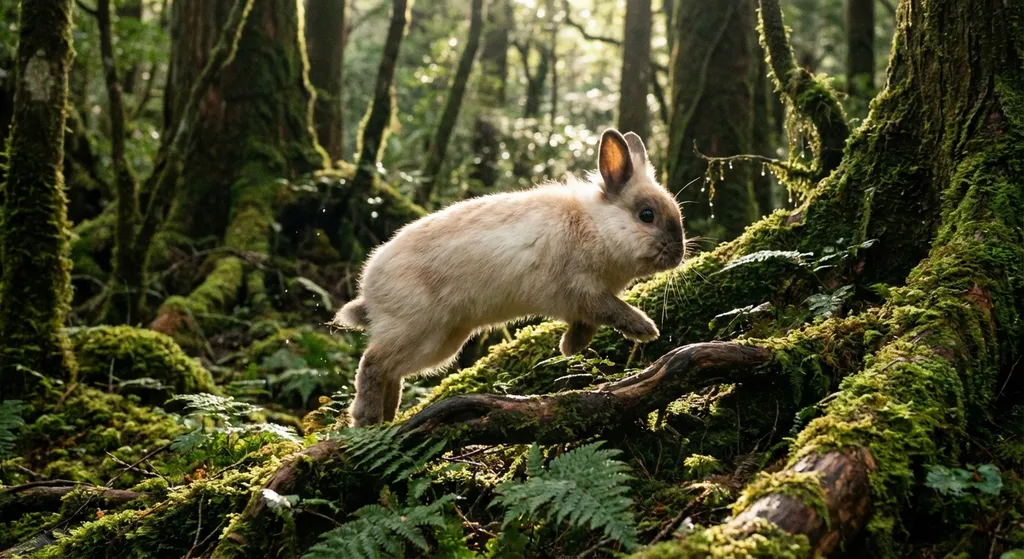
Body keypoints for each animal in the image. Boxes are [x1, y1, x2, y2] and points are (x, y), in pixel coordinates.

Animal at [332, 129, 685, 426]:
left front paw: (568, 348)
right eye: (647, 215)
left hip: (442, 342)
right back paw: (366, 419)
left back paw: (387, 418)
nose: (679, 253)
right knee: (372, 363)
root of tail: (369, 289)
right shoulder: (586, 292)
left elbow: (587, 325)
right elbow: (614, 311)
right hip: (417, 327)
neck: (596, 225)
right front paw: (646, 330)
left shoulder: (583, 305)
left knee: (393, 371)